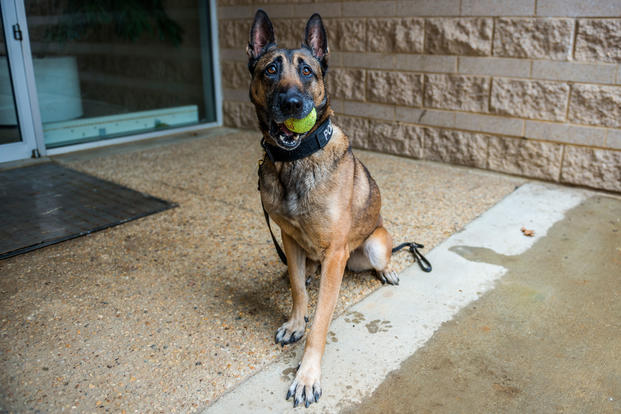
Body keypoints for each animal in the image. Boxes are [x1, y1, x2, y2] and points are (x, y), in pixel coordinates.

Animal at [246, 9, 398, 408]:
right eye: (270, 70)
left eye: (307, 71)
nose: (292, 104)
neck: (295, 160)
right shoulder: (289, 239)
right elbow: (298, 289)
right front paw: (295, 322)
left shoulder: (335, 256)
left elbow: (320, 324)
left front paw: (307, 376)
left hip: (373, 244)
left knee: (383, 259)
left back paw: (389, 271)